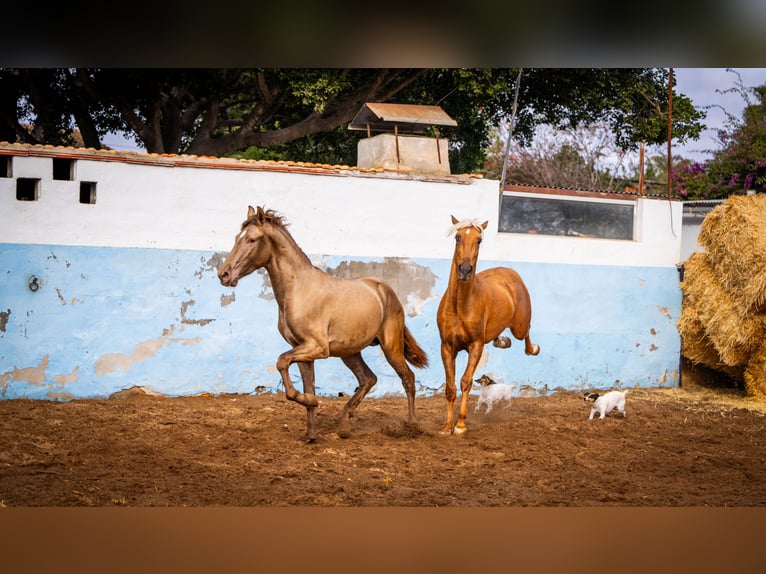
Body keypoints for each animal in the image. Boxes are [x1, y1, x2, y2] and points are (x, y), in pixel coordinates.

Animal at [217, 205, 429, 443]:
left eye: (252, 239)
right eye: (237, 238)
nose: (224, 274)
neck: (298, 289)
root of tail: (385, 289)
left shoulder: (317, 347)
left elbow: (282, 362)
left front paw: (310, 402)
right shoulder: (302, 350)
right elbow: (306, 384)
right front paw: (310, 434)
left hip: (390, 347)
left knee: (407, 378)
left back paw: (411, 425)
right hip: (350, 352)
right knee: (368, 379)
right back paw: (344, 423)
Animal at [436, 215, 540, 435]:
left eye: (479, 240)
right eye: (457, 237)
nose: (465, 270)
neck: (460, 306)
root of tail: (511, 273)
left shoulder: (476, 346)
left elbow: (465, 381)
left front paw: (460, 426)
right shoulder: (447, 347)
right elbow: (450, 387)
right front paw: (447, 427)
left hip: (519, 325)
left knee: (526, 334)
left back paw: (533, 348)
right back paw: (502, 341)